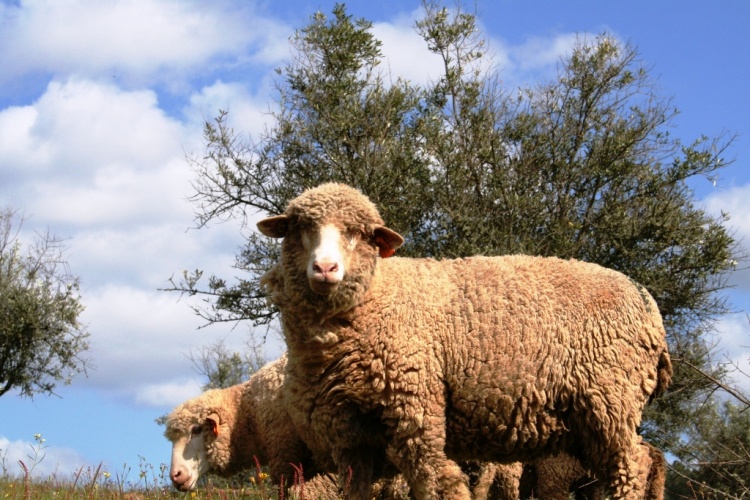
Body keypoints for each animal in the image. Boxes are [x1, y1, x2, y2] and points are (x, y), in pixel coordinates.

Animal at [258, 184, 676, 500]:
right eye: (299, 227)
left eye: (358, 233)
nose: (325, 268)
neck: (378, 297)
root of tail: (648, 303)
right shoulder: (349, 435)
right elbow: (355, 489)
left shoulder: (417, 407)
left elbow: (433, 481)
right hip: (592, 419)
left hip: (610, 399)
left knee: (631, 468)